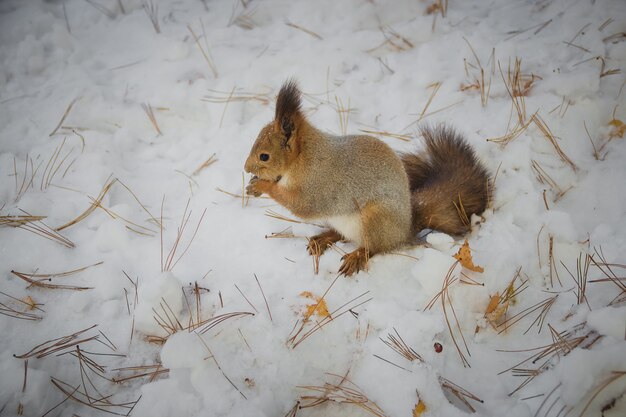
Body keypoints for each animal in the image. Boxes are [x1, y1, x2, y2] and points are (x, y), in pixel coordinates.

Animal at [241, 80, 490, 276]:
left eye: (264, 156)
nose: (245, 168)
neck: (303, 159)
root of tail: (405, 228)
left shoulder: (318, 185)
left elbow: (301, 206)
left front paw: (262, 185)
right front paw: (253, 186)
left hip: (375, 219)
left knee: (374, 247)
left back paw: (357, 256)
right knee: (342, 234)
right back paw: (324, 237)